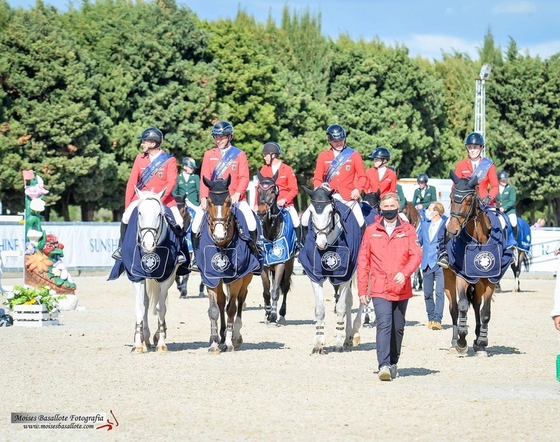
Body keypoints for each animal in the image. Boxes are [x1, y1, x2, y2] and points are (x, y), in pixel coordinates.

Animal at [198, 176, 260, 352]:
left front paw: (230, 342)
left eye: (228, 202)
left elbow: (231, 308)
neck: (222, 245)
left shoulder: (237, 278)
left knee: (240, 299)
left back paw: (235, 336)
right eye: (210, 202)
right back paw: (222, 335)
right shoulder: (210, 277)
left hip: (246, 278)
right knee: (221, 302)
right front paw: (214, 342)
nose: (219, 234)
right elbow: (213, 310)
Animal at [256, 170, 296, 324]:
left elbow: (275, 291)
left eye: (273, 190)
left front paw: (273, 315)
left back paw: (282, 314)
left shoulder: (280, 263)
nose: (261, 212)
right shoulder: (265, 266)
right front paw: (267, 313)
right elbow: (266, 291)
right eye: (258, 190)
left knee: (284, 287)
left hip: (289, 264)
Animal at [300, 186, 360, 356]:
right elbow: (320, 309)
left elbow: (340, 308)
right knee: (349, 301)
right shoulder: (314, 276)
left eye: (330, 212)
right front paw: (318, 343)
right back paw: (348, 338)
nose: (321, 243)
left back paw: (352, 333)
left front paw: (338, 344)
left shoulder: (345, 276)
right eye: (311, 212)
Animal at [444, 171, 516, 358]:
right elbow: (462, 306)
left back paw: (477, 340)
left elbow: (485, 313)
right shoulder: (462, 276)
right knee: (454, 309)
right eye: (451, 198)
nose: (452, 230)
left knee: (477, 306)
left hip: (479, 284)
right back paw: (454, 342)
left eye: (469, 200)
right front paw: (461, 342)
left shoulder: (490, 281)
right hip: (449, 279)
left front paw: (482, 343)